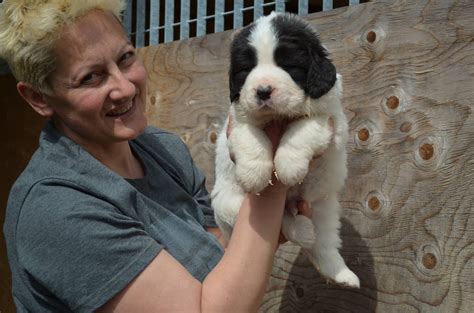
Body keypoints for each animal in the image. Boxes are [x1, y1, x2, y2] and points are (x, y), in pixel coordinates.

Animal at [211, 12, 360, 288]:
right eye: (246, 69)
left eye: (289, 65)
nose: (263, 91)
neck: (277, 117)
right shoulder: (237, 120)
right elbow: (251, 137)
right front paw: (254, 173)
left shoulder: (330, 119)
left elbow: (301, 129)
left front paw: (288, 166)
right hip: (228, 206)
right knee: (282, 221)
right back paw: (301, 230)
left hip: (323, 207)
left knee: (324, 243)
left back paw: (341, 274)